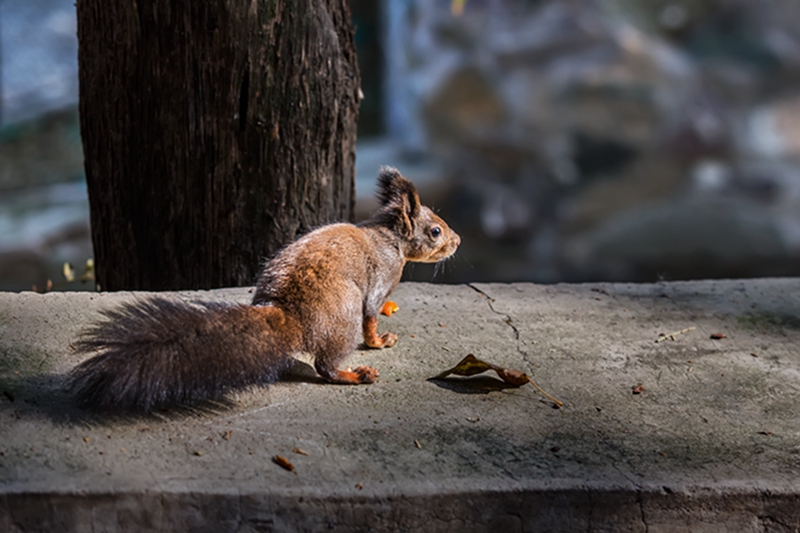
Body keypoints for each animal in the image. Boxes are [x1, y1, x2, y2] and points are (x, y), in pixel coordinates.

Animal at [71, 166, 460, 412]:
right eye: (435, 231)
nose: (457, 240)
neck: (389, 237)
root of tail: (288, 314)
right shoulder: (381, 280)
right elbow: (371, 317)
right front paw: (380, 341)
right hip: (343, 316)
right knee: (326, 366)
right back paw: (355, 374)